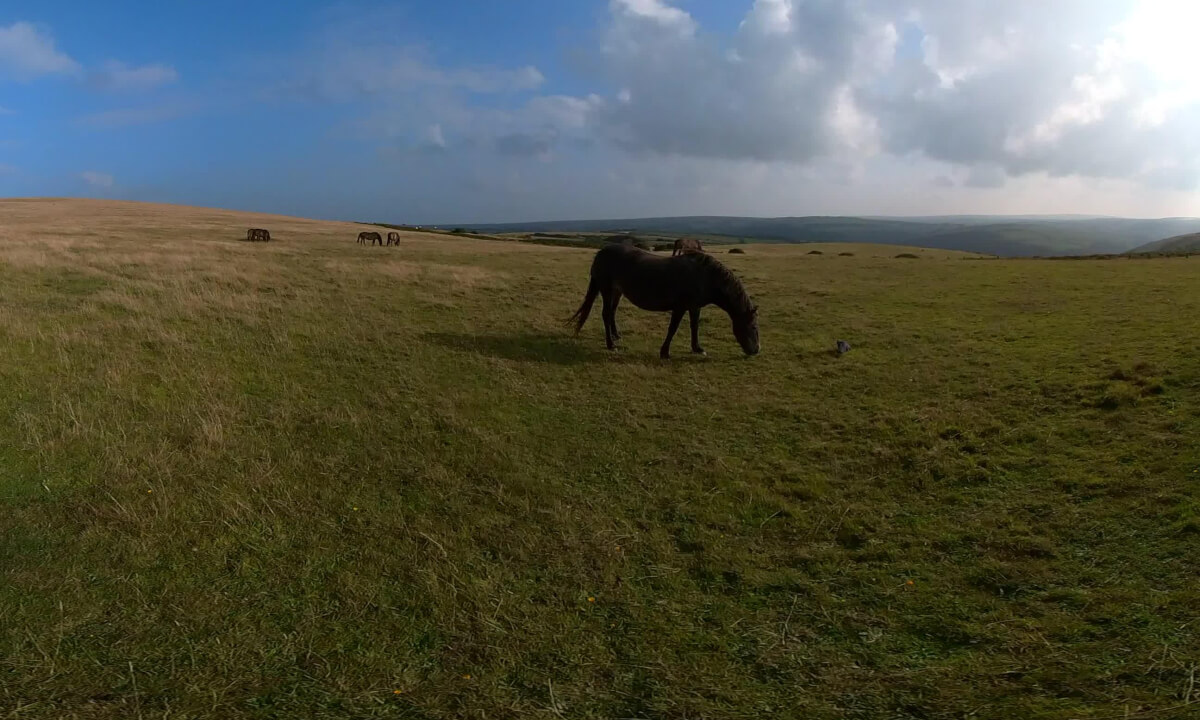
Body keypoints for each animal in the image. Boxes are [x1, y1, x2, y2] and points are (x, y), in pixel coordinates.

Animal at [568, 244, 759, 359]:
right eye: (753, 327)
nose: (756, 350)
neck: (705, 277)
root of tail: (601, 252)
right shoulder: (681, 307)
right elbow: (673, 328)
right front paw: (665, 352)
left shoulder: (694, 306)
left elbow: (695, 326)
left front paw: (697, 348)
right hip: (607, 290)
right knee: (606, 315)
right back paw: (611, 345)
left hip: (617, 292)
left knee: (612, 313)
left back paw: (616, 336)